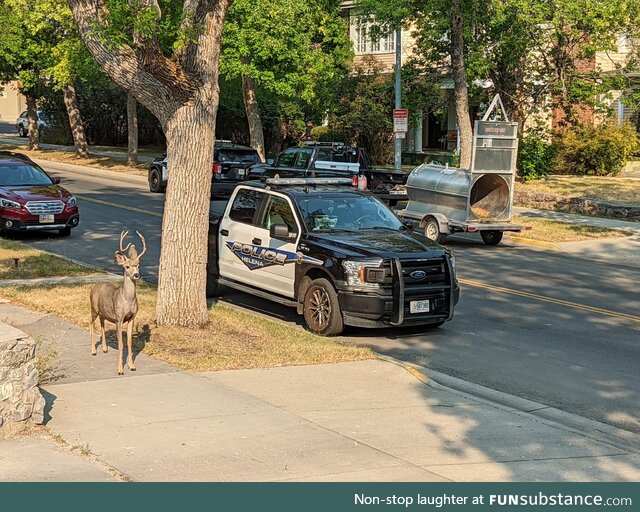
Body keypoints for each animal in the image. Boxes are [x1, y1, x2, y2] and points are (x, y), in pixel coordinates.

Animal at [90, 230, 146, 374]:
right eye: (127, 266)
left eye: (138, 265)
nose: (136, 274)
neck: (127, 300)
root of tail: (95, 286)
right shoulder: (119, 318)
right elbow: (121, 344)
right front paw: (120, 369)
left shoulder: (131, 318)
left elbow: (129, 343)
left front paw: (132, 366)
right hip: (93, 308)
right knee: (91, 322)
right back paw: (93, 350)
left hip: (104, 312)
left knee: (102, 322)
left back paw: (105, 348)